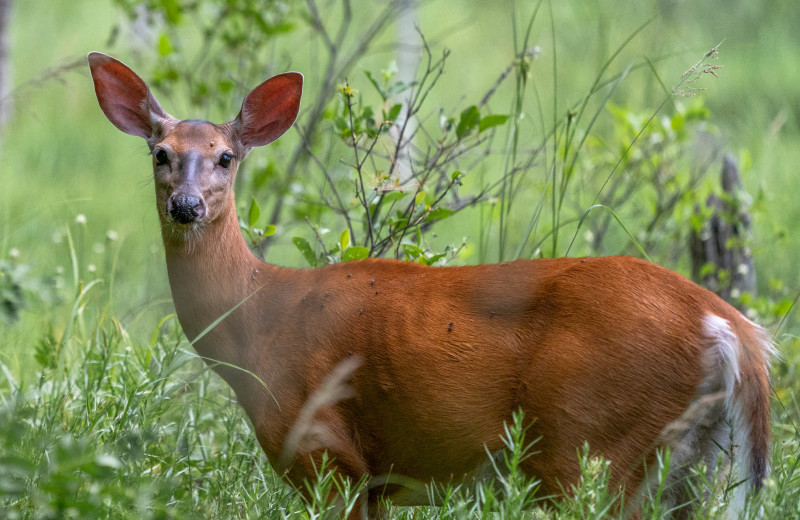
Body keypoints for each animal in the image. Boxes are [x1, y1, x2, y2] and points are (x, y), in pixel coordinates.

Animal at [89, 51, 776, 516]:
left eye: (225, 157)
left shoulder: (327, 454)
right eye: (161, 152)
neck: (257, 325)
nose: (185, 205)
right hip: (686, 464)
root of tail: (733, 330)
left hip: (592, 442)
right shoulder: (371, 480)